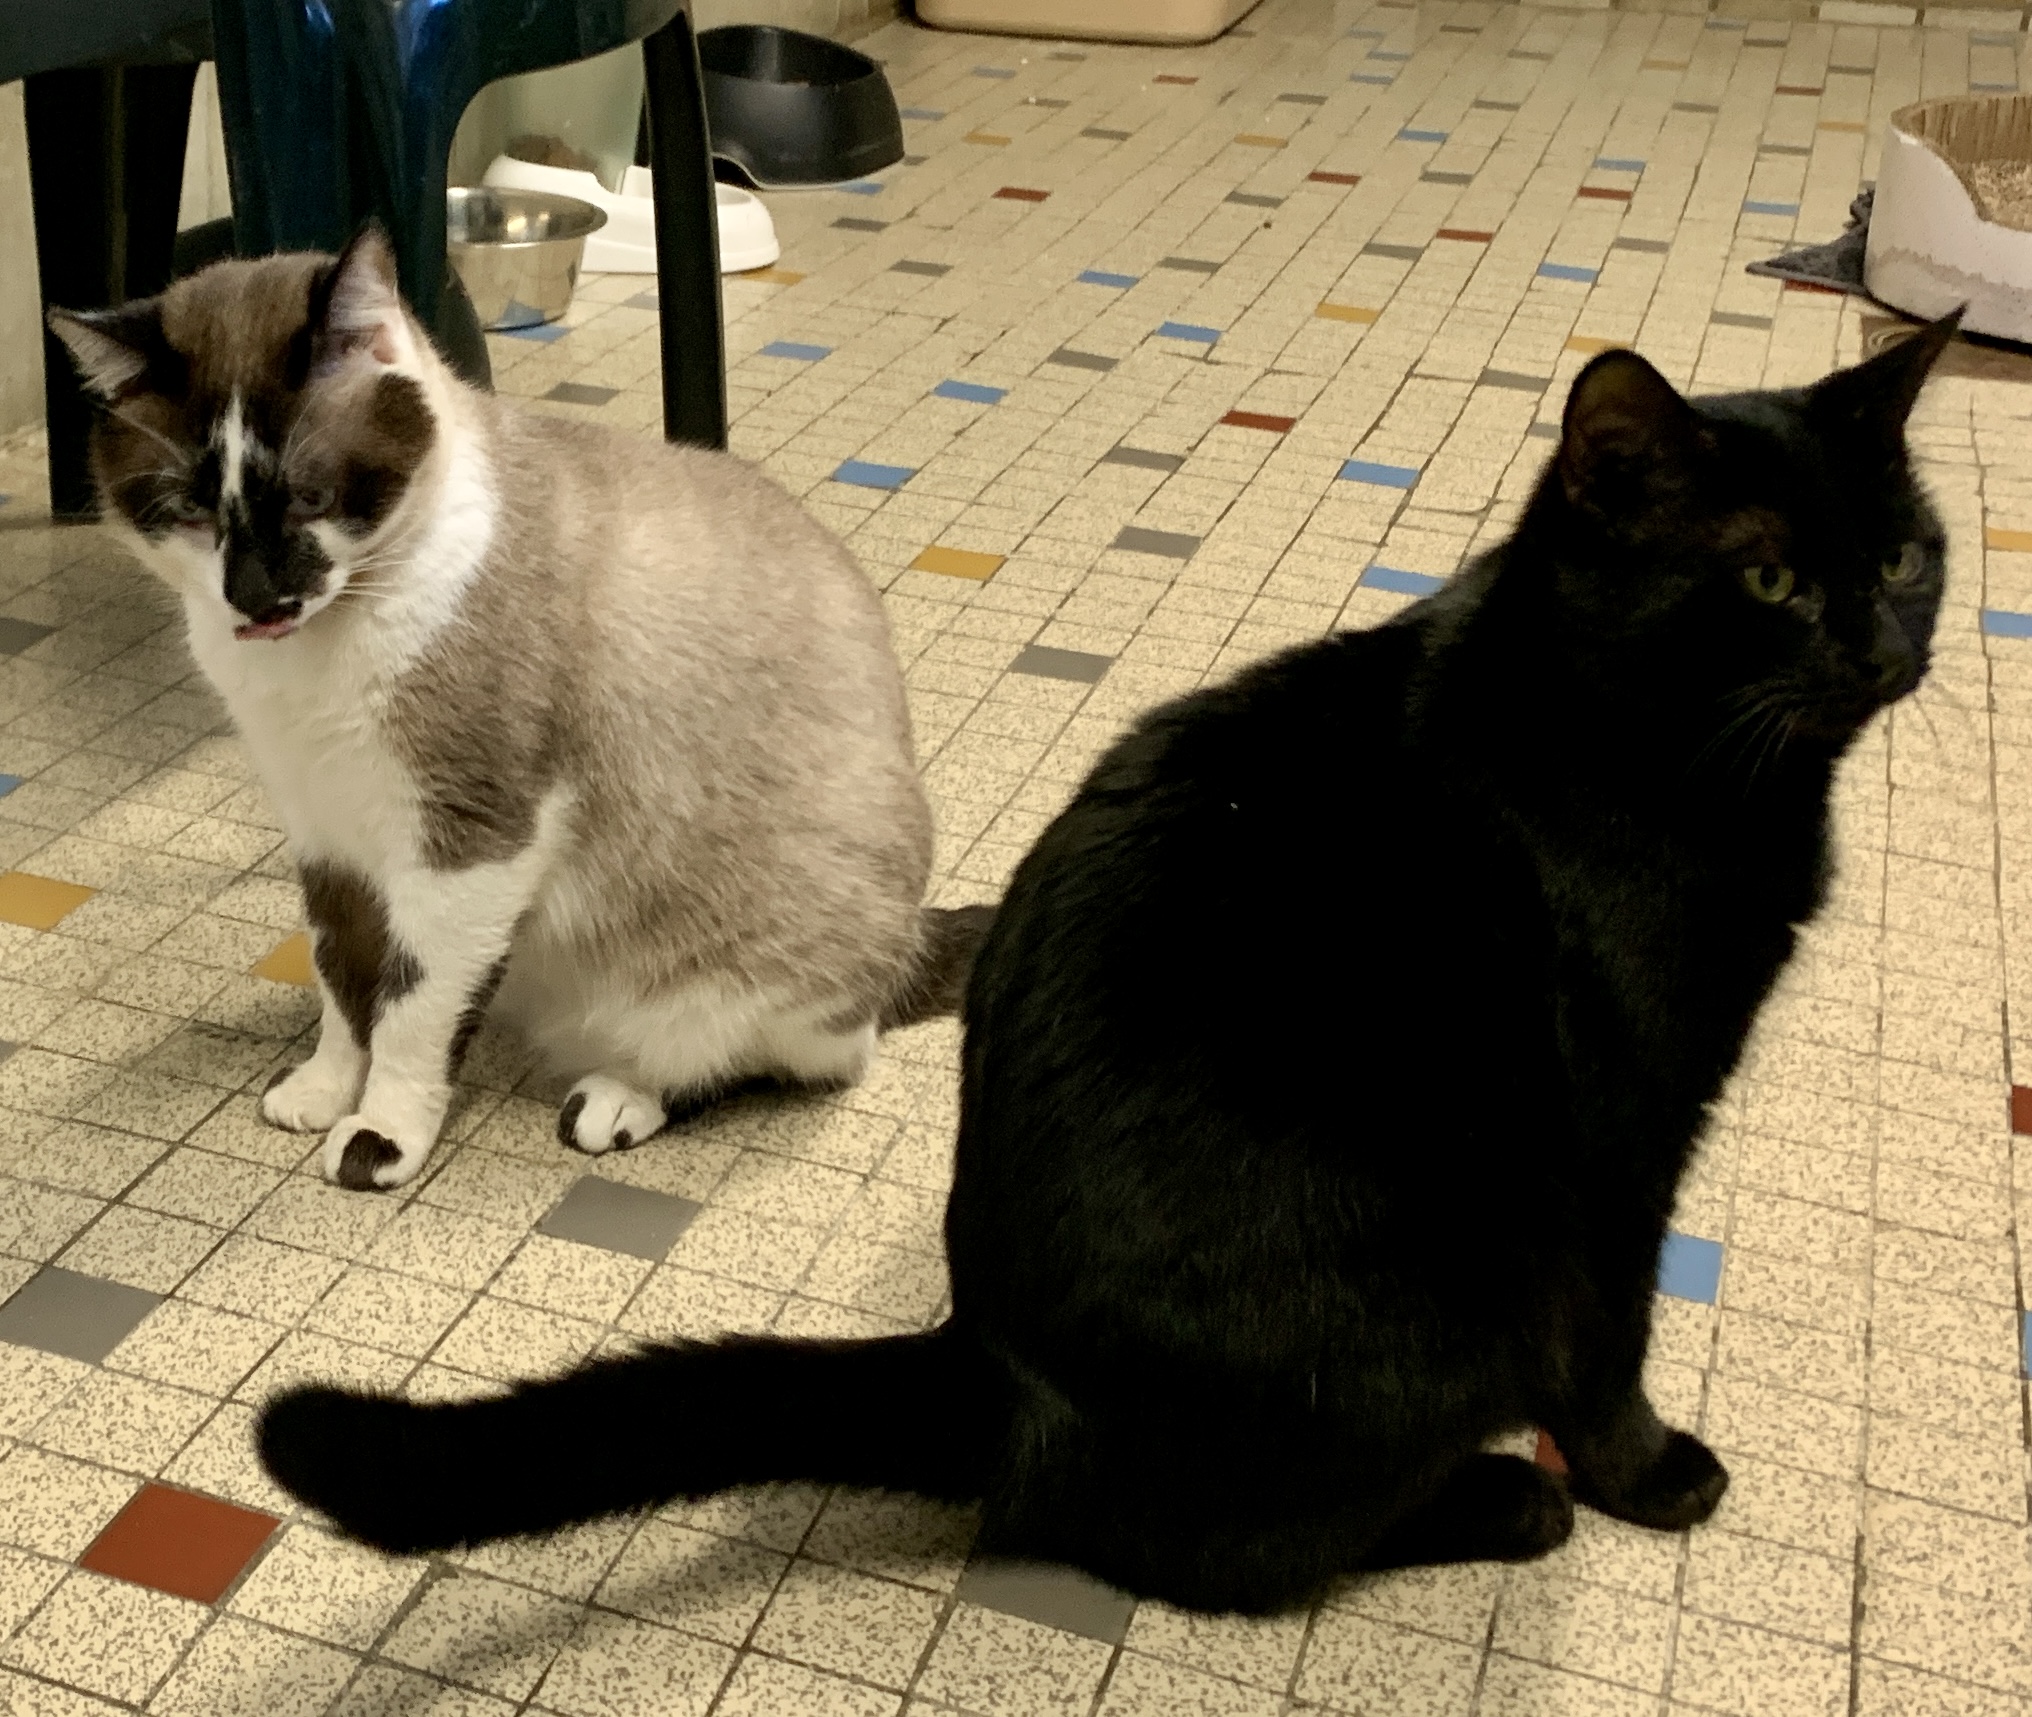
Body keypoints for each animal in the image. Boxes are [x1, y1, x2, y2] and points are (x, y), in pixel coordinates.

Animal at [50, 228, 988, 1193]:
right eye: (192, 511)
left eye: (313, 498)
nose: (258, 600)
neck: (311, 661)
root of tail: (908, 942)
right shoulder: (325, 829)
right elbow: (344, 983)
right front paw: (323, 1089)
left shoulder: (470, 844)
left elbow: (412, 1008)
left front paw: (379, 1132)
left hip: (763, 974)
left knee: (785, 1060)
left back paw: (621, 1096)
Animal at [255, 314, 1958, 1612]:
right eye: (1770, 581)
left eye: (1907, 554)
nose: (1888, 646)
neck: (1631, 744)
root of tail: (992, 1371)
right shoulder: (1618, 1140)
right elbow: (1611, 1337)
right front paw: (1643, 1477)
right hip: (1446, 1276)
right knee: (1213, 1549)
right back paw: (1496, 1503)